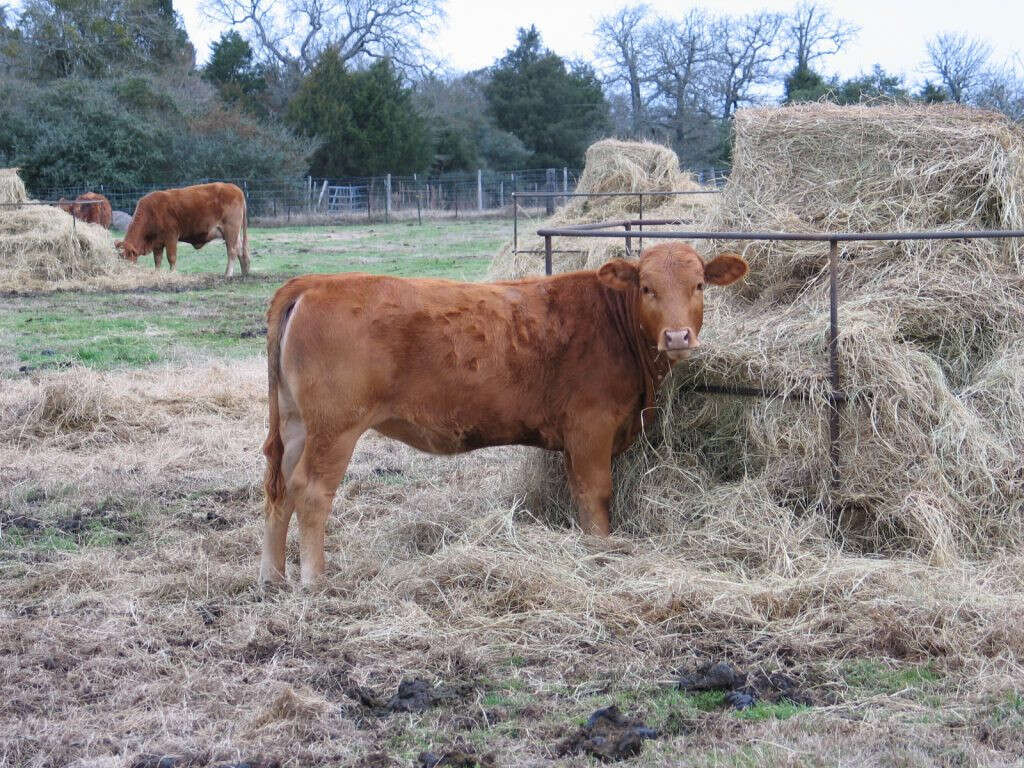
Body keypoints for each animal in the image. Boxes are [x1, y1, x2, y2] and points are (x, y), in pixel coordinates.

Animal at [115, 182, 248, 278]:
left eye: (126, 257)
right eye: (119, 257)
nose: (120, 271)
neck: (151, 212)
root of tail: (234, 187)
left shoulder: (171, 237)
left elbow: (171, 257)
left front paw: (172, 273)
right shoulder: (157, 243)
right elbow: (157, 260)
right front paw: (157, 274)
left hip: (231, 230)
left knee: (232, 251)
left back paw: (228, 274)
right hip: (234, 234)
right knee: (241, 250)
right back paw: (244, 273)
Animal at [260, 243, 749, 585]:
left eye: (699, 285)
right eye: (647, 287)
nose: (677, 336)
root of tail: (312, 282)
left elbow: (578, 495)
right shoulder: (590, 426)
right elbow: (596, 495)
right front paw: (599, 553)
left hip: (296, 424)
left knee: (278, 490)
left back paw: (273, 577)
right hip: (335, 428)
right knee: (310, 490)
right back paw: (314, 580)